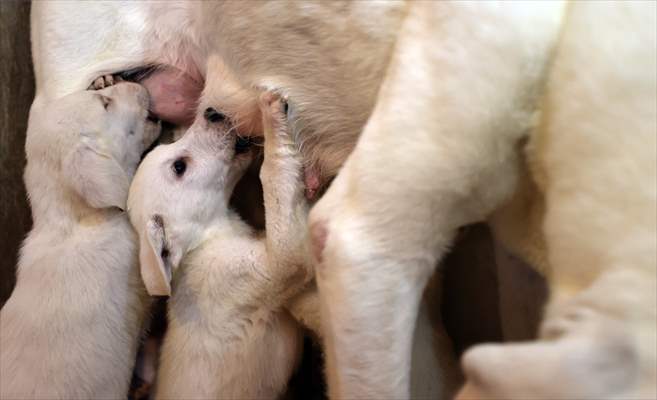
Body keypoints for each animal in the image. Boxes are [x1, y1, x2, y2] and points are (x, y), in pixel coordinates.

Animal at [128, 93, 312, 396]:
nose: (212, 112)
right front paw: (271, 115)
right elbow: (272, 176)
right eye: (179, 167)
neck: (203, 241)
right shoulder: (273, 263)